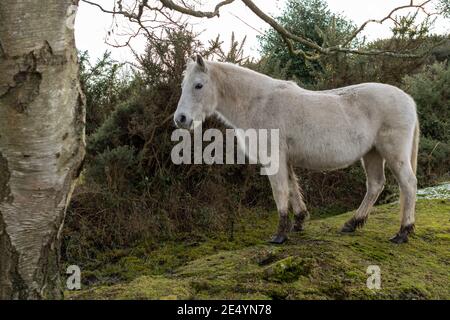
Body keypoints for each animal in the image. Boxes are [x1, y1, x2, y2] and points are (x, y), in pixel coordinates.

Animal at [175, 55, 418, 245]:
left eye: (198, 85)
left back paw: (402, 232)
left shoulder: (274, 158)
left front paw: (280, 235)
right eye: (183, 86)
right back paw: (352, 224)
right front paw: (299, 221)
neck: (259, 103)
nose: (181, 119)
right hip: (372, 153)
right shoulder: (285, 159)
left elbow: (280, 191)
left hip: (392, 153)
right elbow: (292, 188)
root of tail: (408, 99)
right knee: (375, 185)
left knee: (408, 184)